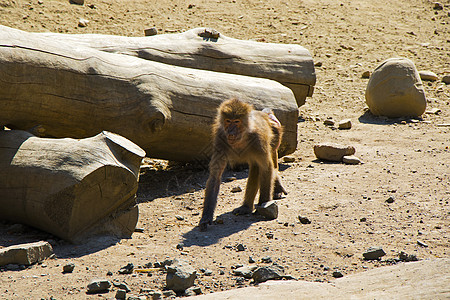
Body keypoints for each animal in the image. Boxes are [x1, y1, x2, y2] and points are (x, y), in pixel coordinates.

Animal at [200, 97, 288, 231]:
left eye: (236, 121)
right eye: (228, 121)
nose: (231, 132)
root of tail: (266, 114)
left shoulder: (258, 140)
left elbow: (266, 168)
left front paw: (264, 204)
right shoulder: (221, 138)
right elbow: (215, 176)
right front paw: (206, 217)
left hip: (276, 135)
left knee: (264, 166)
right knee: (255, 168)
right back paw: (246, 208)